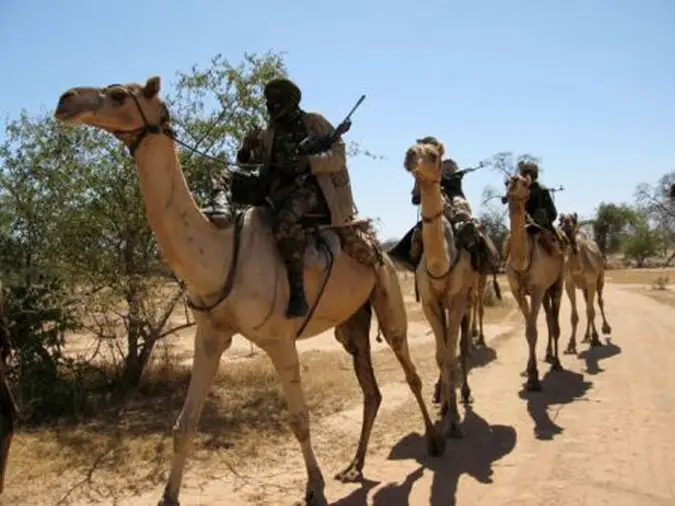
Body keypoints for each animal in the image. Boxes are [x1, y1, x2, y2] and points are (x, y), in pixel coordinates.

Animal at [55, 76, 446, 506]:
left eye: (119, 95)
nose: (65, 100)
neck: (222, 254)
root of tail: (375, 245)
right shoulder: (210, 336)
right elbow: (184, 424)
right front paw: (167, 496)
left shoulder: (280, 341)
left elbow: (300, 420)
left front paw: (315, 489)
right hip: (352, 322)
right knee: (371, 389)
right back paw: (354, 466)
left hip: (388, 296)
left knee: (408, 369)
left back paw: (434, 442)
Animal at [404, 138, 478, 434]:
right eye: (412, 147)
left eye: (433, 155)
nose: (410, 155)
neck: (440, 264)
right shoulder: (428, 302)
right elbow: (439, 354)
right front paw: (445, 405)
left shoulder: (457, 300)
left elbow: (450, 354)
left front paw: (455, 420)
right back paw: (440, 394)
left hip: (470, 297)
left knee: (462, 345)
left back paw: (465, 393)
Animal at [504, 172, 568, 390]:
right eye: (506, 182)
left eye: (525, 182)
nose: (513, 183)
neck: (522, 260)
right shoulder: (517, 290)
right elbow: (528, 330)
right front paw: (529, 370)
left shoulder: (537, 288)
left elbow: (533, 331)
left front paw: (534, 379)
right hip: (546, 290)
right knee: (549, 318)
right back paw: (548, 355)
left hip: (557, 283)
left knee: (555, 321)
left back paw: (557, 362)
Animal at [560, 212, 612, 352]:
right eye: (561, 219)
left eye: (574, 219)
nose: (567, 227)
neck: (578, 268)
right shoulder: (569, 284)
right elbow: (575, 315)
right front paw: (571, 344)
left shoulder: (591, 282)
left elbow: (591, 311)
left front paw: (596, 338)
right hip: (584, 288)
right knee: (588, 305)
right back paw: (586, 335)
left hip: (600, 279)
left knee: (599, 302)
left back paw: (605, 329)